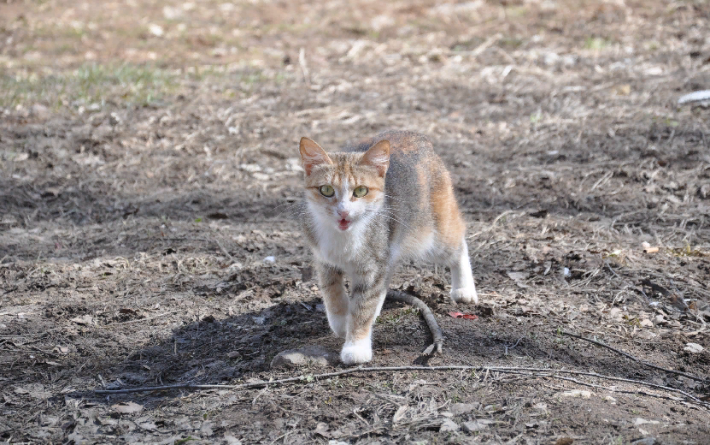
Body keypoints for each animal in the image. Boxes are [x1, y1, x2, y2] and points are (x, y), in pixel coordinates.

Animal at [298, 129, 482, 364]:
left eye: (360, 191)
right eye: (327, 190)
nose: (343, 212)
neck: (345, 235)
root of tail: (416, 135)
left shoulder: (373, 262)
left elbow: (363, 305)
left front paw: (356, 346)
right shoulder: (324, 257)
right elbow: (332, 291)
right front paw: (340, 321)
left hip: (432, 233)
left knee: (457, 245)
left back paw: (464, 289)